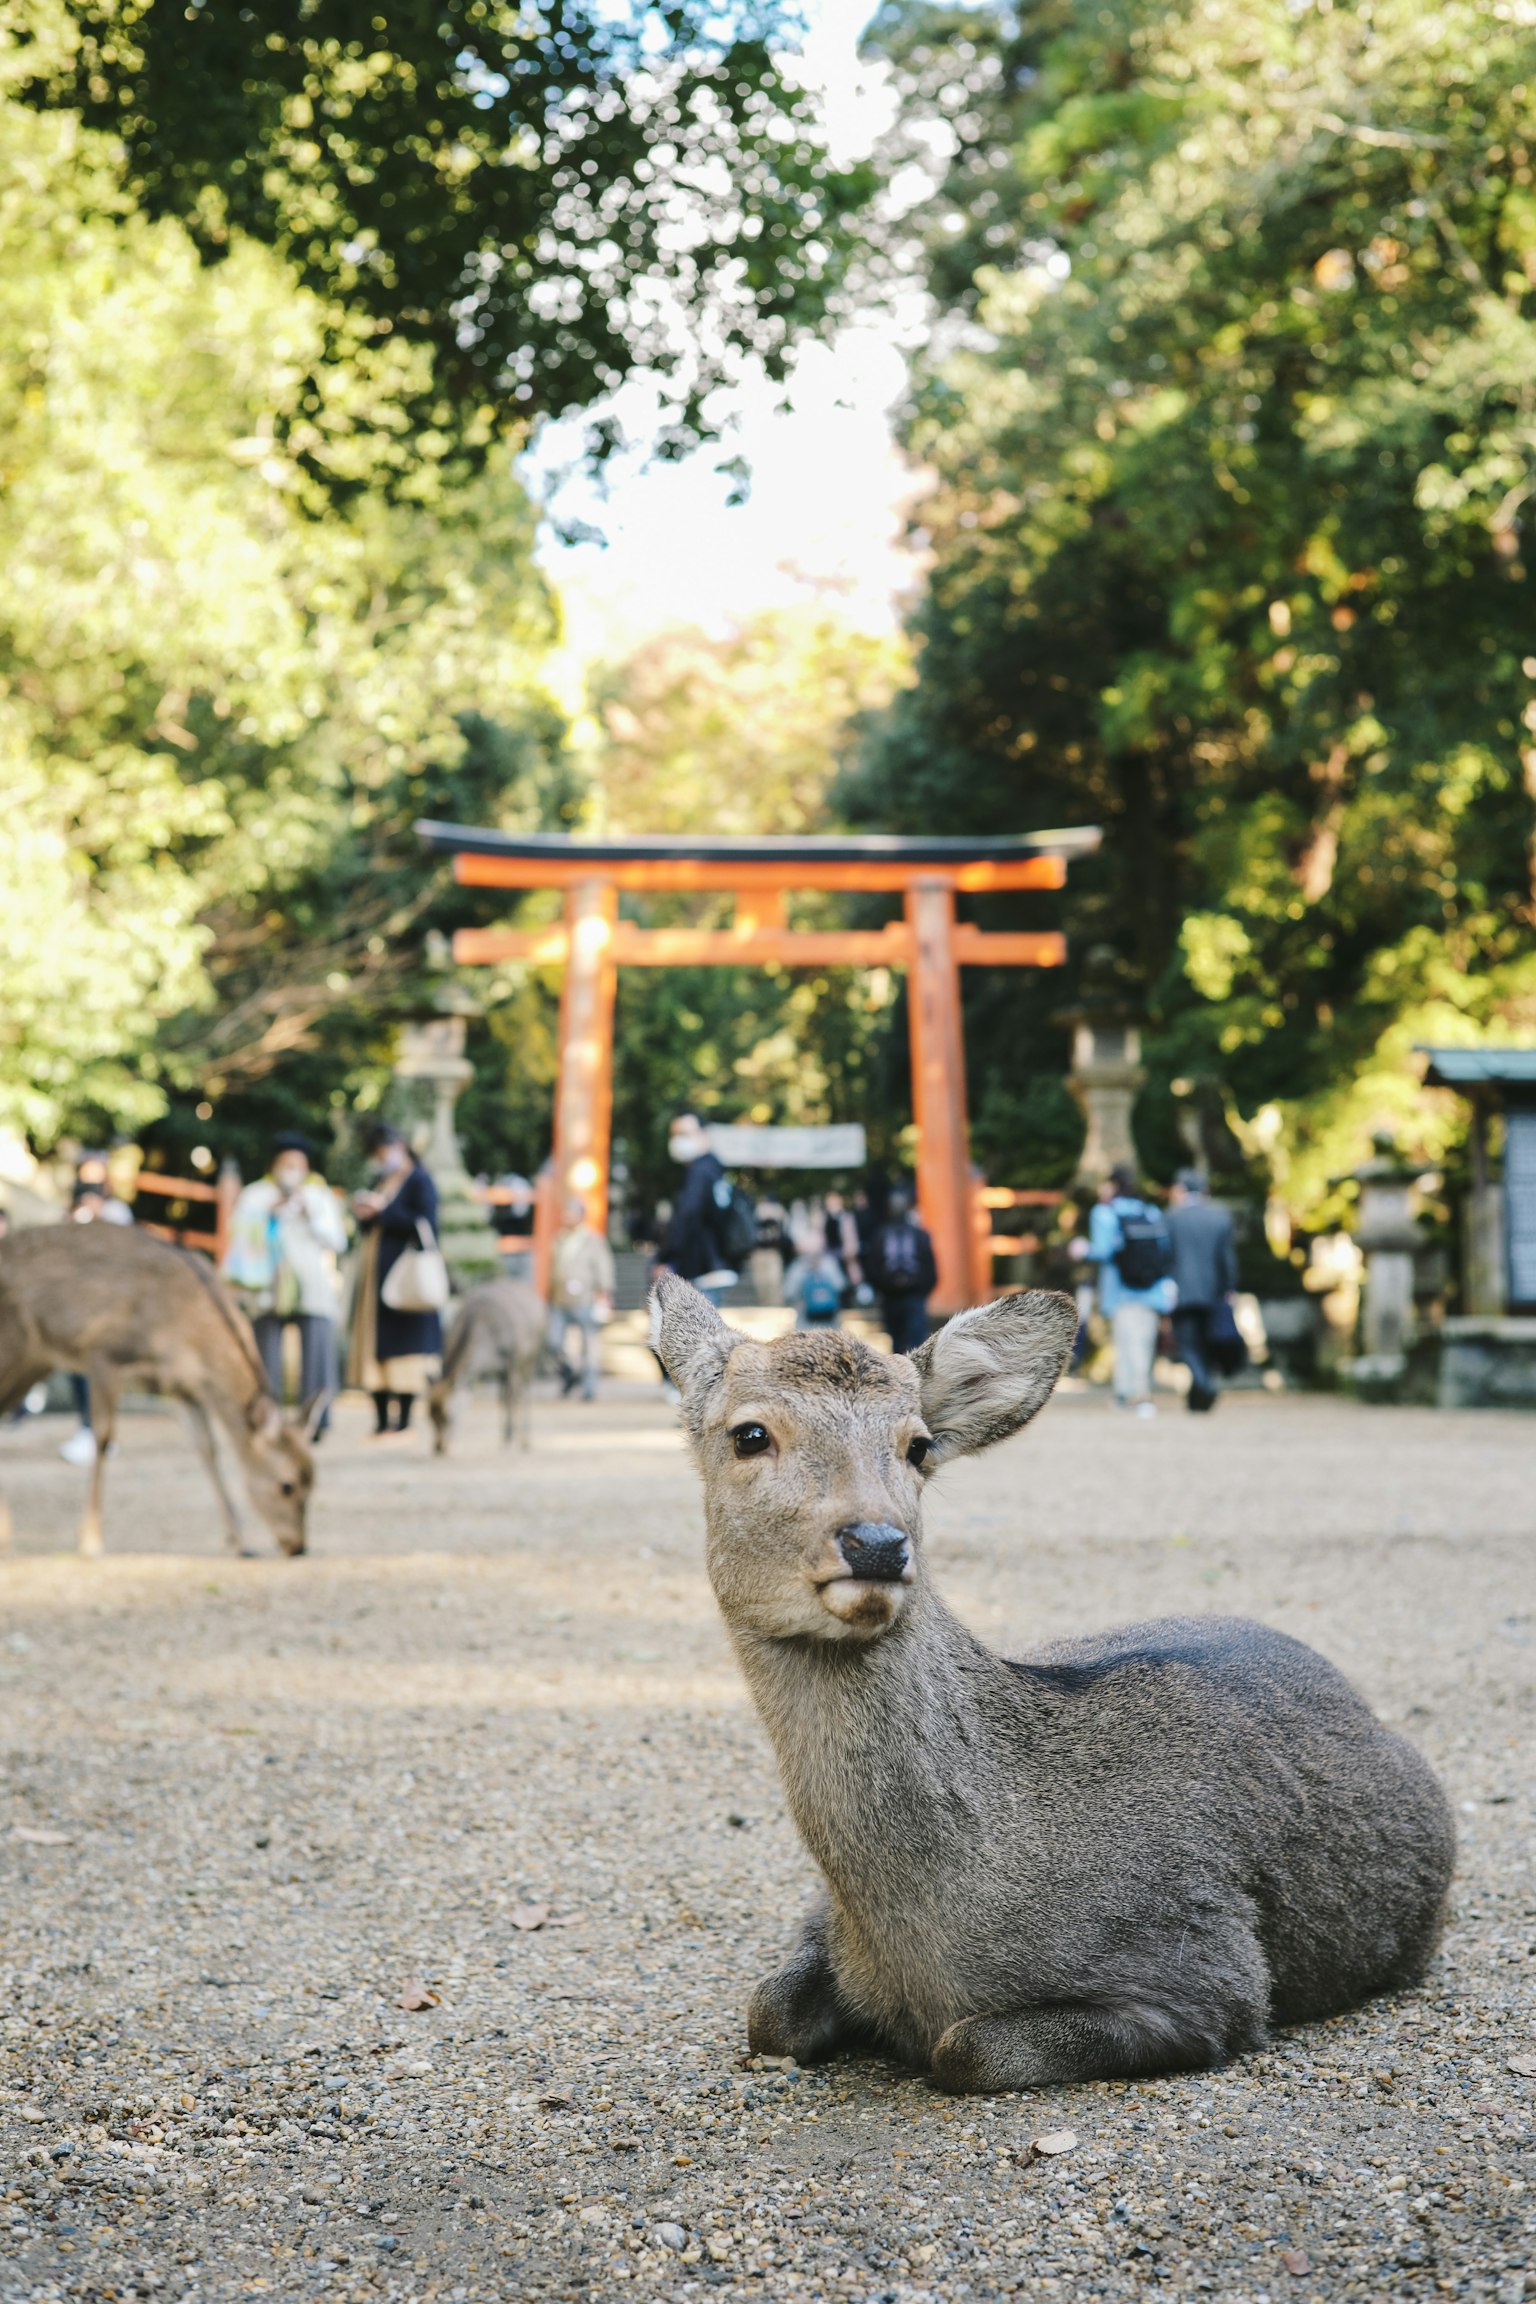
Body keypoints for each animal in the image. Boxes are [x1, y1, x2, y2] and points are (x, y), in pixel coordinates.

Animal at [0, 1224, 314, 1557]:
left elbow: (207, 1448)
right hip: (13, 1344)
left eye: (313, 1480)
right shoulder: (103, 1353)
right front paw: (91, 1539)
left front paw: (240, 1541)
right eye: (287, 1485)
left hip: (34, 1361)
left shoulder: (182, 1387)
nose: (298, 1546)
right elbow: (104, 1438)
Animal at [427, 1274, 545, 1454]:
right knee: (507, 1395)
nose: (440, 1447)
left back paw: (525, 1439)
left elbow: (514, 1397)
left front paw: (518, 1441)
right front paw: (505, 1438)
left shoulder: (513, 1360)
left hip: (531, 1356)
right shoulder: (499, 1368)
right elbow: (501, 1399)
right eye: (429, 1415)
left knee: (524, 1392)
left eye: (449, 1414)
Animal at [650, 1274, 1455, 2094]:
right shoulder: (820, 1918)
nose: (876, 1543)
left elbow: (963, 2050)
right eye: (750, 1434)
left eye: (919, 1445)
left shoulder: (1210, 1972)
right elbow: (767, 2013)